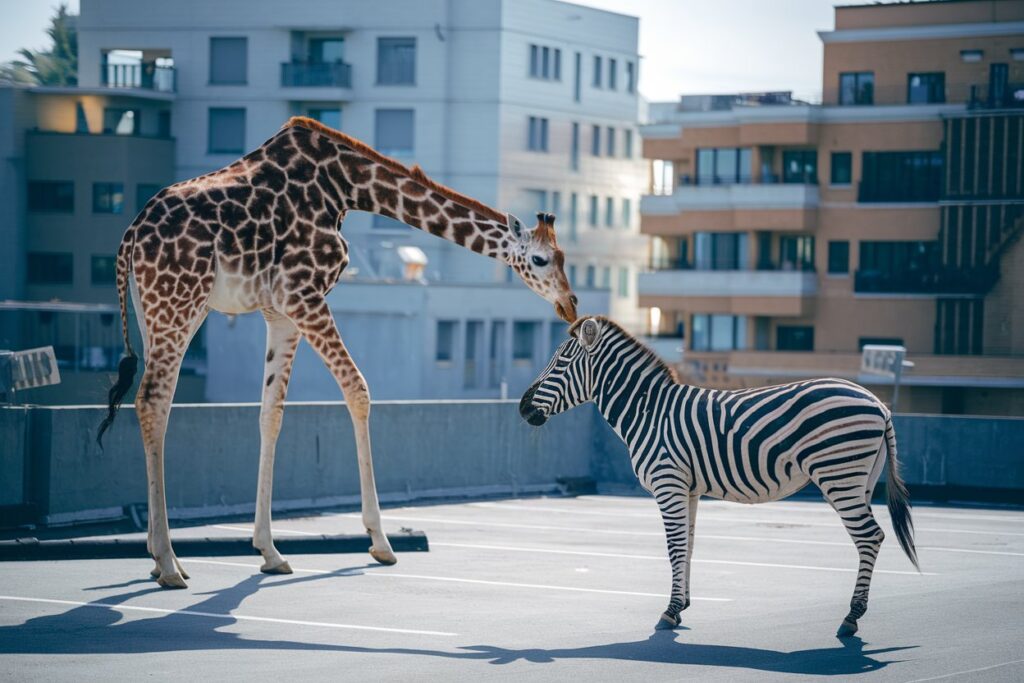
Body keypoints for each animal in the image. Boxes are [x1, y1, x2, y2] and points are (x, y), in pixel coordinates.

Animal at [96, 117, 581, 589]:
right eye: (540, 260)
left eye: (564, 257)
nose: (570, 303)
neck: (347, 186)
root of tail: (129, 237)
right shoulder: (303, 295)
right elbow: (358, 390)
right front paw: (380, 541)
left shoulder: (280, 312)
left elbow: (271, 413)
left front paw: (270, 551)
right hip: (178, 300)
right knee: (152, 400)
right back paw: (167, 562)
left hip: (161, 309)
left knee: (157, 401)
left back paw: (163, 561)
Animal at [520, 317, 921, 638]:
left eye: (561, 361)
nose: (522, 408)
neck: (649, 412)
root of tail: (879, 404)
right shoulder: (688, 489)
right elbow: (688, 545)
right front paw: (682, 606)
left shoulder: (668, 483)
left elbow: (674, 546)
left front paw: (669, 613)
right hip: (860, 480)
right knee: (870, 537)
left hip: (839, 475)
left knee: (870, 536)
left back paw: (851, 618)